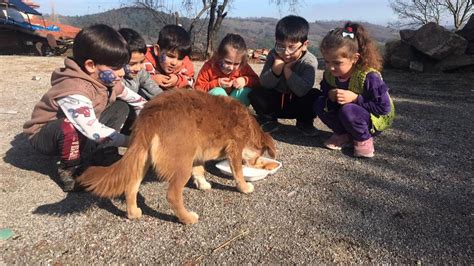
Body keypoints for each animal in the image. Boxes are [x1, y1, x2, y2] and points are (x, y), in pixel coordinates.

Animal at [77, 89, 276, 224]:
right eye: (257, 158)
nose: (255, 163)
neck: (249, 125)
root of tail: (152, 114)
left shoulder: (197, 152)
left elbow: (200, 170)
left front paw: (203, 184)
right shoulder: (234, 150)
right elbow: (238, 173)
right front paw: (244, 187)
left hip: (143, 159)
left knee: (130, 187)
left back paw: (133, 213)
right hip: (181, 164)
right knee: (172, 195)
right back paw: (187, 218)